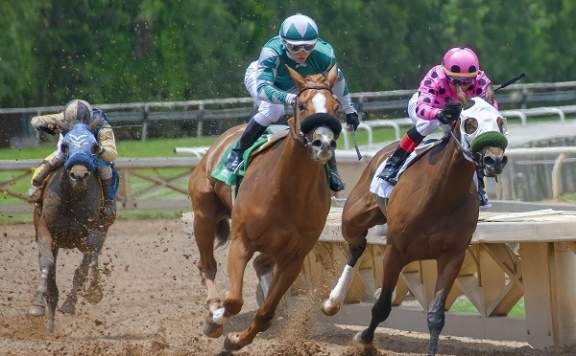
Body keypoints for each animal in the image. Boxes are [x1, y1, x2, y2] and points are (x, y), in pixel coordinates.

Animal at [28, 121, 114, 332]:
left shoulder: (92, 235)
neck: (71, 201)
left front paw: (76, 300)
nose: (79, 175)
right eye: (65, 146)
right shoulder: (45, 229)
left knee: (91, 261)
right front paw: (40, 303)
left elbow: (84, 267)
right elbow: (47, 263)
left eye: (94, 147)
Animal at [189, 65, 342, 352]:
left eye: (336, 106)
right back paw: (213, 311)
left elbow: (266, 312)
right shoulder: (241, 241)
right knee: (207, 265)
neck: (289, 192)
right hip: (203, 214)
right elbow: (234, 300)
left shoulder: (294, 258)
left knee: (260, 264)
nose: (324, 144)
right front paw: (216, 320)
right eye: (301, 105)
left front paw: (236, 340)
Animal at [322, 95, 506, 356]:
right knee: (356, 246)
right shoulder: (395, 251)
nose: (495, 160)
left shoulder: (453, 255)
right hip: (353, 217)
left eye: (501, 122)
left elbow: (436, 316)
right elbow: (382, 306)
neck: (441, 196)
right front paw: (363, 339)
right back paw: (332, 301)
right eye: (470, 123)